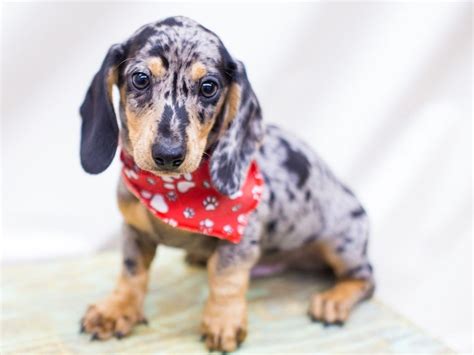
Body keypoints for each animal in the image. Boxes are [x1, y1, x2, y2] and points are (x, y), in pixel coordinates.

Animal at [78, 16, 374, 354]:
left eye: (209, 87)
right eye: (140, 78)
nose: (168, 155)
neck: (173, 193)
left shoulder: (241, 240)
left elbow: (225, 278)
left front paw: (222, 321)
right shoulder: (134, 230)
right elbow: (131, 272)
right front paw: (116, 310)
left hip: (341, 244)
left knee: (366, 278)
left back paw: (334, 300)